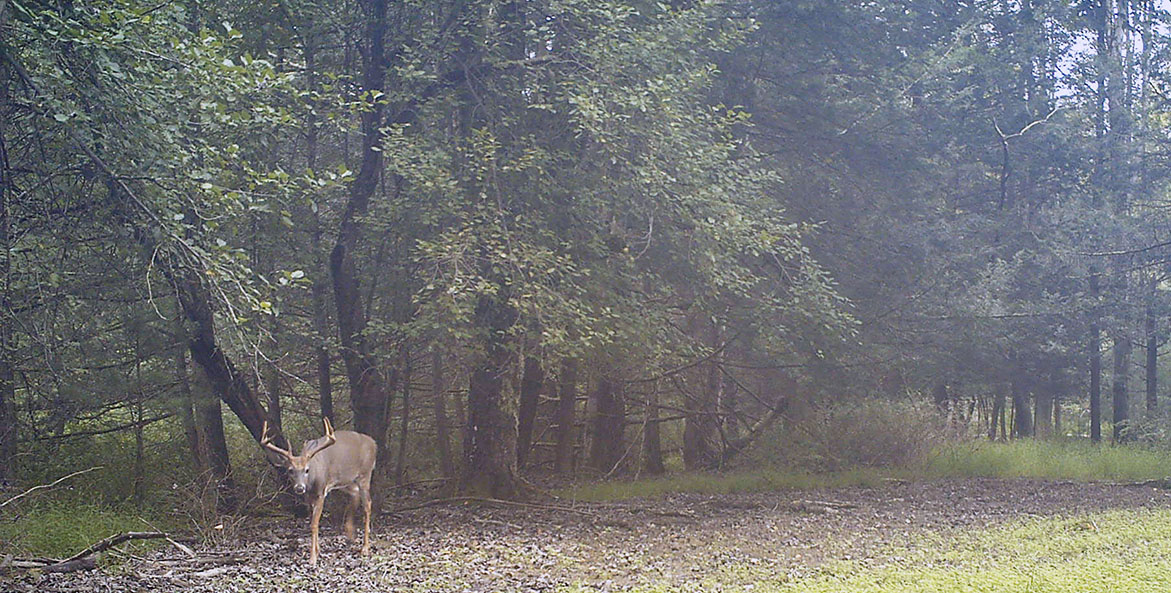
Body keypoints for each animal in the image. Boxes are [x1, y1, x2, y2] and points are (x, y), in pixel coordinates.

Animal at [263, 417, 377, 564]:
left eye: (306, 470)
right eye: (290, 470)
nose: (300, 487)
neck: (312, 482)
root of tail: (374, 443)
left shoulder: (321, 492)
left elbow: (314, 524)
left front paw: (313, 557)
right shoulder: (308, 497)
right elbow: (312, 521)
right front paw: (317, 550)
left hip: (365, 475)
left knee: (367, 505)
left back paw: (365, 548)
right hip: (346, 481)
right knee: (355, 494)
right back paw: (350, 534)